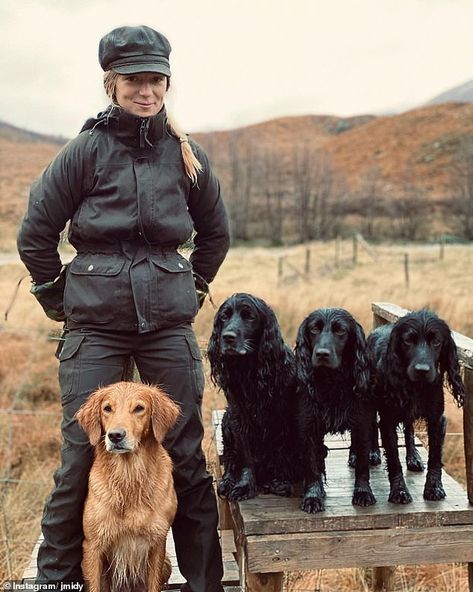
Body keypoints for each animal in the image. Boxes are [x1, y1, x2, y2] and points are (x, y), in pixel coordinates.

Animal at [76, 382, 180, 588]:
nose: (115, 436)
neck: (128, 475)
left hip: (166, 564)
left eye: (139, 408)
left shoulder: (157, 542)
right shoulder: (93, 545)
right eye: (107, 408)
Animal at [206, 294, 296, 502]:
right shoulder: (239, 415)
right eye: (224, 317)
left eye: (249, 316)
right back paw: (228, 480)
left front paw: (282, 481)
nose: (227, 337)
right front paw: (244, 486)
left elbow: (283, 449)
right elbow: (245, 456)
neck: (250, 369)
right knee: (231, 457)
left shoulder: (284, 416)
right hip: (226, 419)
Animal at [296, 308, 376, 512]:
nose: (322, 354)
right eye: (314, 329)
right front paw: (313, 496)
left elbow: (363, 465)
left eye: (341, 331)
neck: (331, 382)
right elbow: (312, 465)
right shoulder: (308, 426)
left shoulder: (362, 421)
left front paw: (363, 492)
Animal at [368, 310, 464, 504]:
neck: (417, 387)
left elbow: (435, 457)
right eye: (408, 341)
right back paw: (373, 453)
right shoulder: (388, 420)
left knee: (409, 430)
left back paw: (413, 458)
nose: (422, 370)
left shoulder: (436, 419)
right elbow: (394, 460)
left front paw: (434, 488)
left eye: (436, 341)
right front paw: (399, 491)